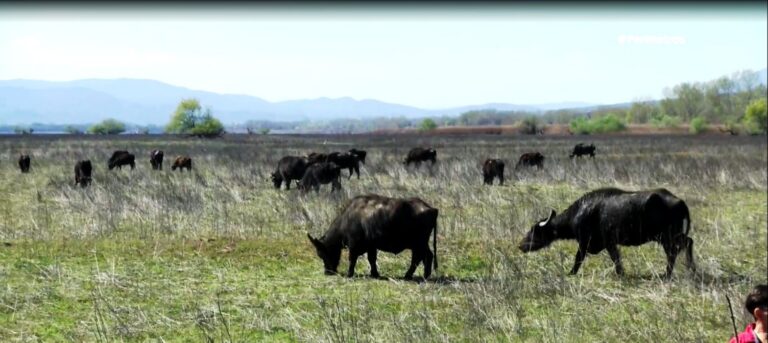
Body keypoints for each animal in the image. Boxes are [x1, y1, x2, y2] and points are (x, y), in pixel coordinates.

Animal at [306, 195, 438, 280]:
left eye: (322, 253)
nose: (327, 272)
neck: (347, 219)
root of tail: (431, 208)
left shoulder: (354, 246)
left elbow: (352, 259)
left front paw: (350, 274)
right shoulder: (371, 246)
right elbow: (372, 259)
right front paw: (374, 274)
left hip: (419, 243)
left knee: (420, 257)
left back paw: (413, 275)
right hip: (420, 244)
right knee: (426, 256)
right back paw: (423, 275)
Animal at [516, 188, 696, 280]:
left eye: (534, 231)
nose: (520, 245)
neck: (580, 213)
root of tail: (680, 202)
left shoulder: (587, 242)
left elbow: (579, 258)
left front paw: (571, 273)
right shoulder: (608, 244)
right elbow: (615, 258)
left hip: (667, 237)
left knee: (673, 253)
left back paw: (667, 274)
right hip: (674, 237)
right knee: (688, 242)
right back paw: (690, 268)